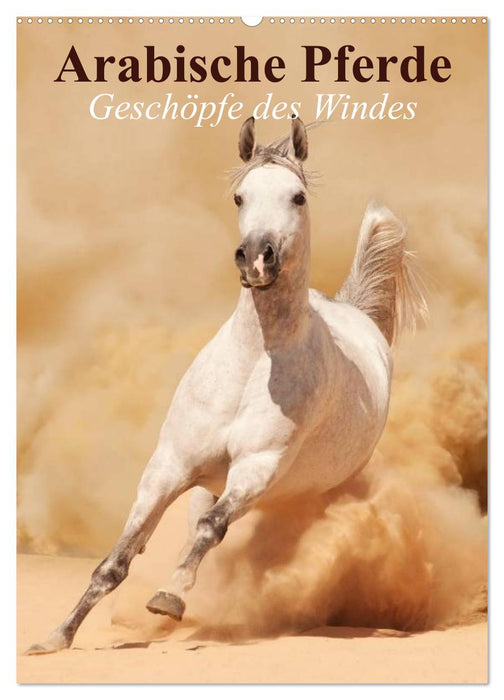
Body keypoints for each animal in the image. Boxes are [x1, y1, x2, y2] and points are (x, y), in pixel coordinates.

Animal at [27, 116, 426, 654]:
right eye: (240, 197)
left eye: (298, 196)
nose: (257, 257)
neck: (252, 366)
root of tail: (355, 312)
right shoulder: (169, 467)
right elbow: (118, 559)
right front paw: (56, 637)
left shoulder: (256, 468)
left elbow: (210, 529)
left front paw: (169, 597)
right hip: (208, 481)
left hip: (303, 489)